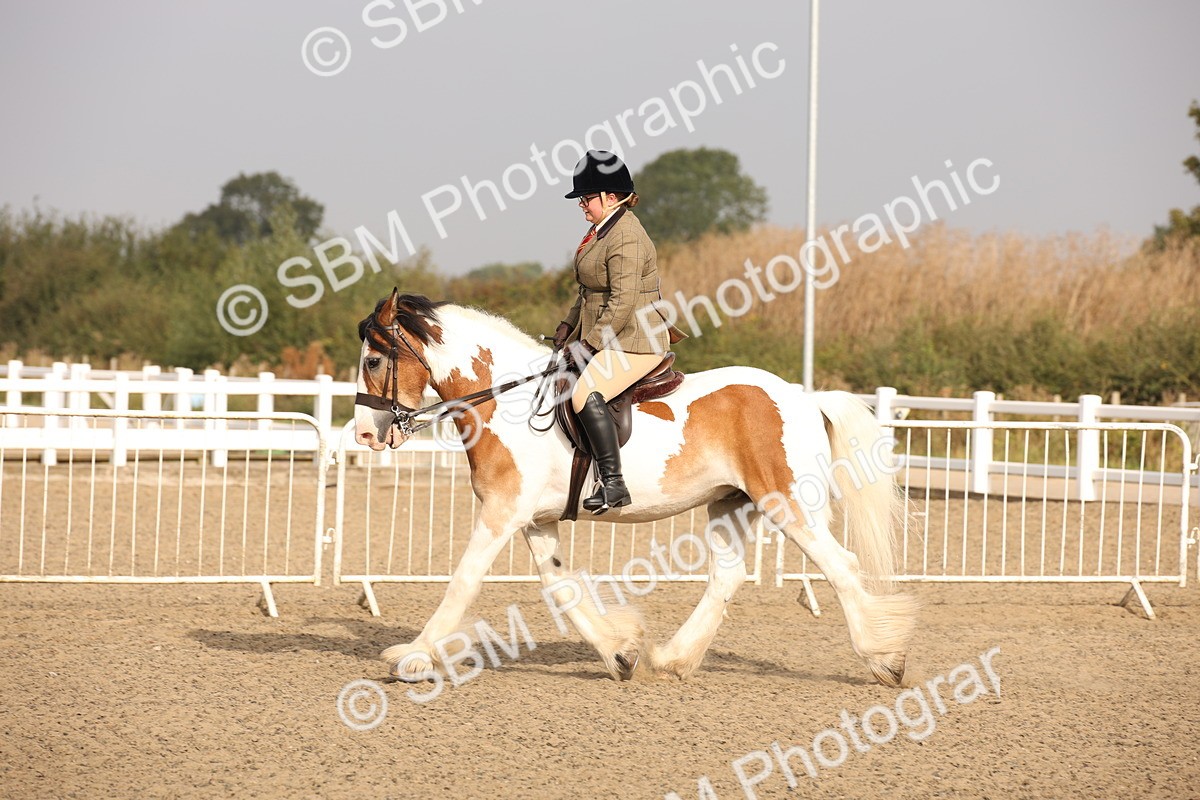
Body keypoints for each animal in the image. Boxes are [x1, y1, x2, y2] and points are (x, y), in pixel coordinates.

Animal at [353, 289, 918, 686]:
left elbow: (463, 580)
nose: (365, 435)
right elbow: (561, 587)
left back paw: (885, 660)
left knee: (839, 566)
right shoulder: (534, 521)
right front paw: (620, 653)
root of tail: (805, 397)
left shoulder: (502, 513)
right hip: (730, 505)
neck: (504, 402)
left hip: (788, 503)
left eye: (374, 361)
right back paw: (672, 659)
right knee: (727, 578)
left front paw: (413, 657)